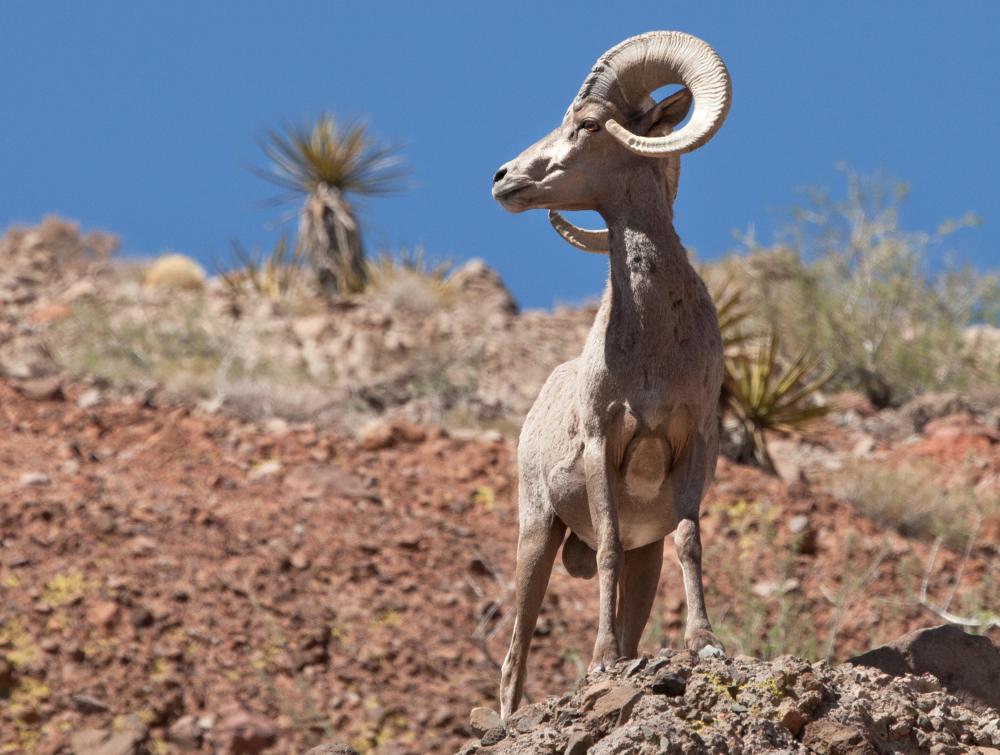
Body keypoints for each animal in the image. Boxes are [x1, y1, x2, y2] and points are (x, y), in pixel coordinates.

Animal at [494, 32, 736, 716]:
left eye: (589, 125)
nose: (503, 178)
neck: (652, 347)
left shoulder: (691, 447)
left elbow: (691, 542)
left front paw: (706, 646)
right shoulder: (605, 442)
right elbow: (603, 546)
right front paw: (601, 663)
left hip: (642, 559)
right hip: (536, 534)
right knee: (514, 652)